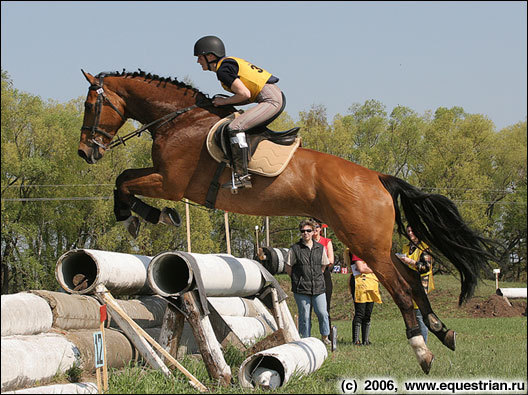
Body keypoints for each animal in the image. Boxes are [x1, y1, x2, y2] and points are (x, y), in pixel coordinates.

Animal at [78, 69, 496, 374]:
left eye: (90, 105)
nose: (85, 152)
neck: (179, 120)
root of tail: (378, 176)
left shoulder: (170, 181)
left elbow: (124, 181)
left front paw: (146, 216)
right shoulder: (165, 178)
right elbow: (124, 178)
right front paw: (143, 217)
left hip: (365, 243)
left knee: (402, 289)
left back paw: (423, 350)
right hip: (370, 242)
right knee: (410, 276)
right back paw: (443, 332)